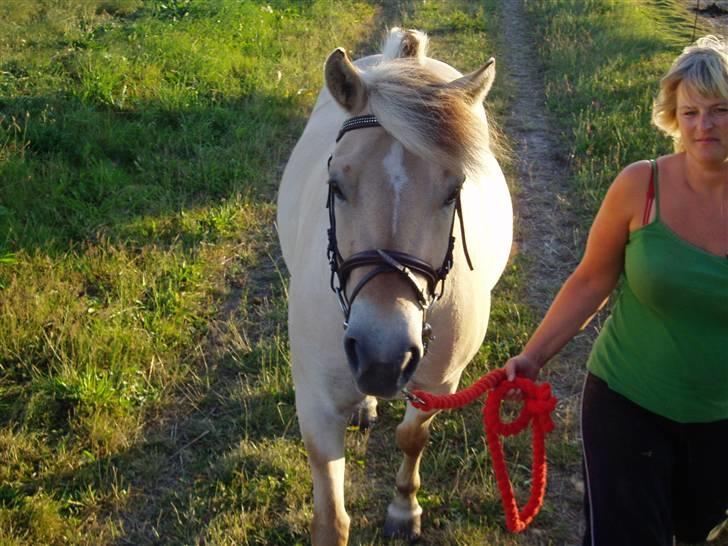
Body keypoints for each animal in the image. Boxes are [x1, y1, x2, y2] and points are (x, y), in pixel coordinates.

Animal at [276, 27, 516, 540]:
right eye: (336, 184)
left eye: (454, 190)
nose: (382, 354)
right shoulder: (315, 400)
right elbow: (331, 519)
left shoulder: (440, 381)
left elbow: (411, 437)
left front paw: (404, 510)